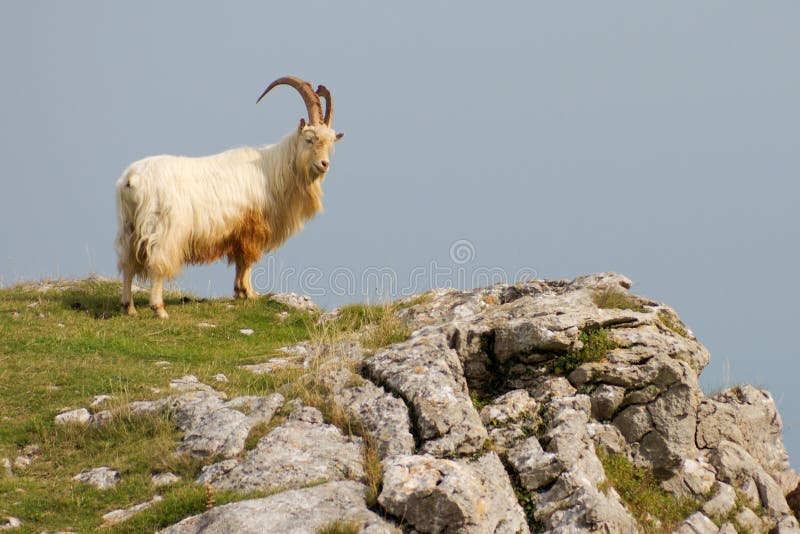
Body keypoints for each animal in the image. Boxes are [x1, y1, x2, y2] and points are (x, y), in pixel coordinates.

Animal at [113, 75, 344, 318]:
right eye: (309, 139)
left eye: (331, 143)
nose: (324, 164)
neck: (271, 170)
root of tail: (132, 179)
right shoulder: (252, 227)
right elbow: (247, 260)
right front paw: (250, 293)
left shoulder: (239, 231)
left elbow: (240, 262)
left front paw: (240, 292)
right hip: (164, 230)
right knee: (157, 264)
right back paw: (159, 310)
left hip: (129, 228)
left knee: (127, 264)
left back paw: (129, 308)